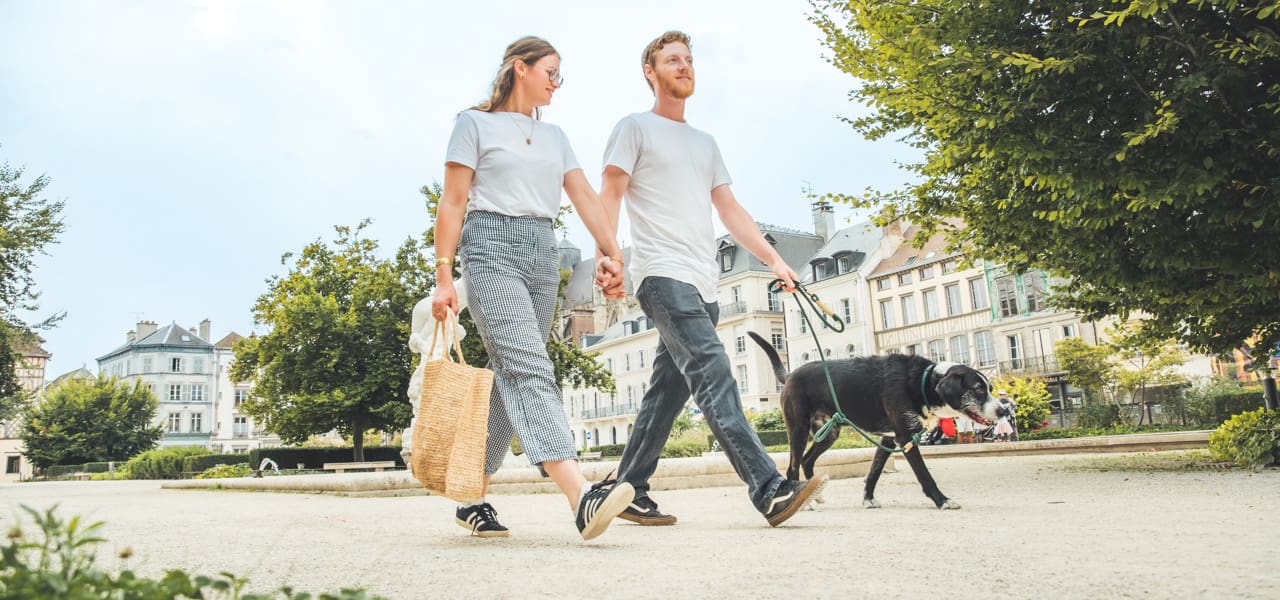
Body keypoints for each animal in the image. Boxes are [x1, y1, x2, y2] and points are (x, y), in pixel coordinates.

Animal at [747, 330, 1003, 506]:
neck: (922, 381)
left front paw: (868, 499)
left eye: (989, 388)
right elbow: (924, 475)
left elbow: (874, 472)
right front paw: (942, 501)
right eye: (978, 389)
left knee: (807, 461)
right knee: (792, 467)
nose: (1003, 411)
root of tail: (790, 375)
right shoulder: (905, 438)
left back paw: (814, 496)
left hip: (829, 432)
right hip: (798, 430)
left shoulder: (888, 439)